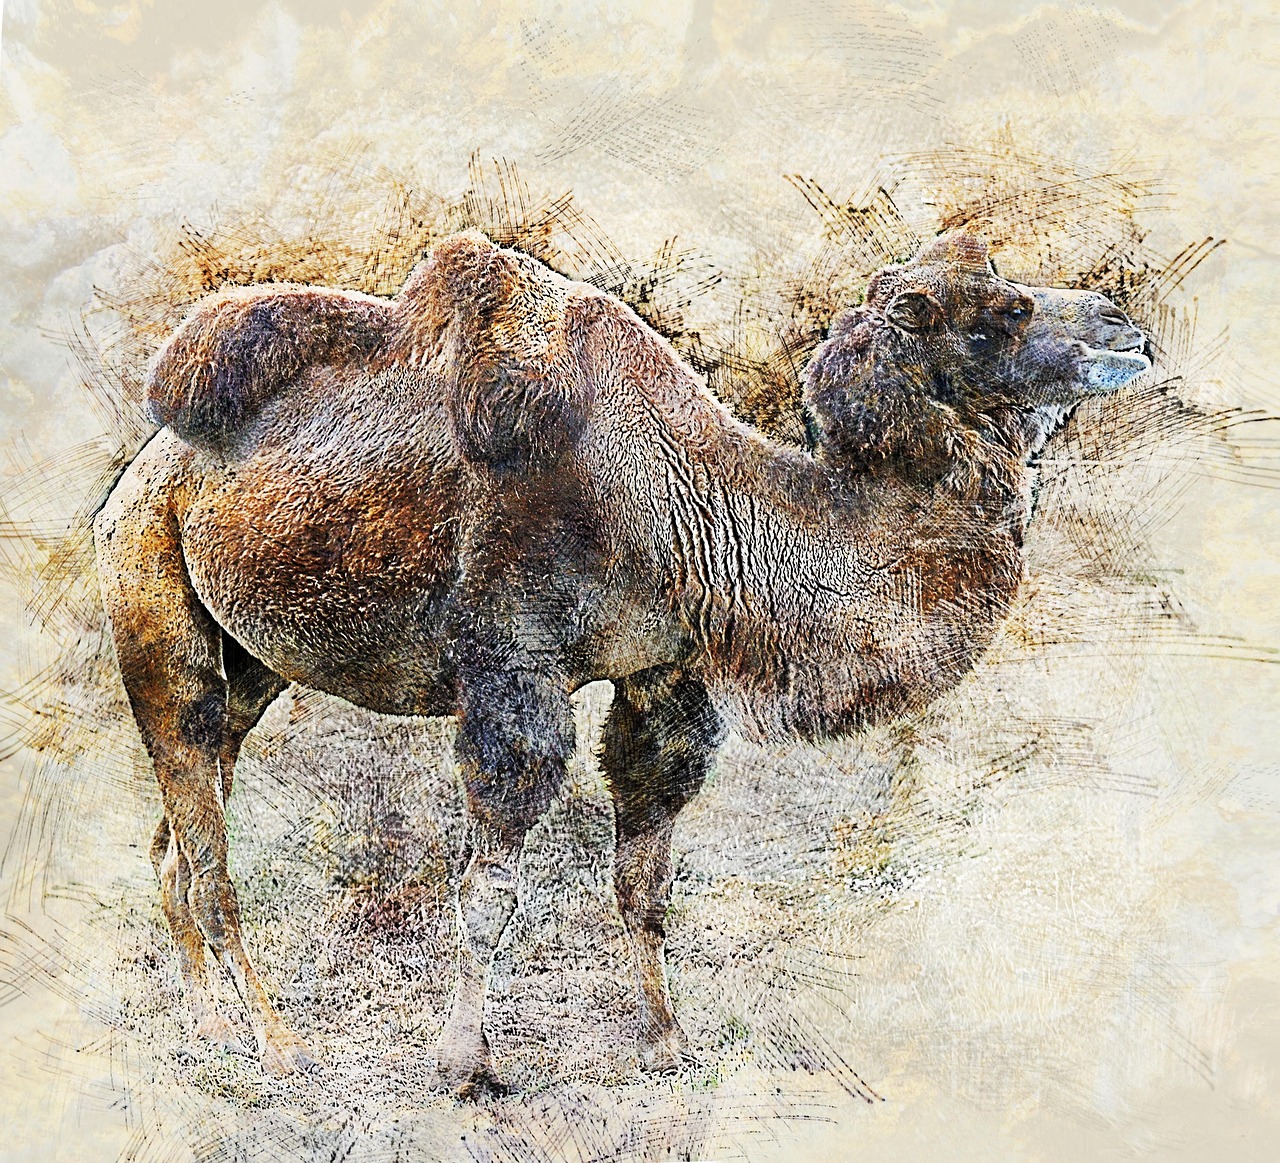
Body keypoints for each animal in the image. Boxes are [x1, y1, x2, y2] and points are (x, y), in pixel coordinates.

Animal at [94, 228, 1150, 1096]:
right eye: (998, 314)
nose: (1124, 328)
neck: (692, 506)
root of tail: (143, 470)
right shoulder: (512, 667)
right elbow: (492, 889)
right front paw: (465, 1064)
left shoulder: (664, 673)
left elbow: (644, 875)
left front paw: (664, 1041)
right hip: (149, 590)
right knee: (205, 834)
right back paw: (276, 1046)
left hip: (250, 658)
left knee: (177, 835)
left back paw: (204, 1022)